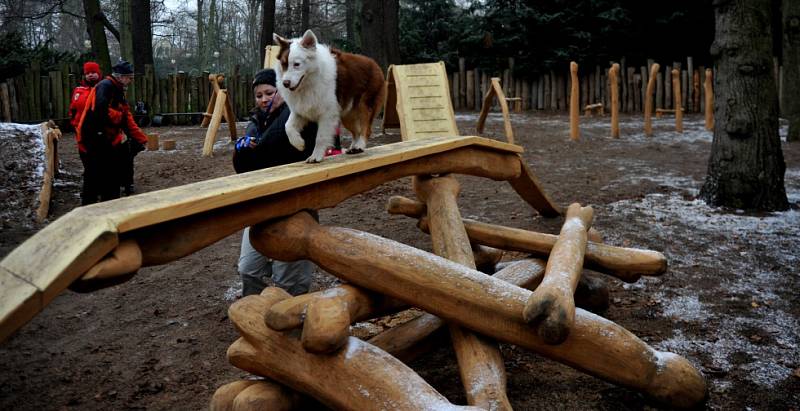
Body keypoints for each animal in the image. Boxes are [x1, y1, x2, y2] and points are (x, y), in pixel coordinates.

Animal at [276, 30, 388, 163]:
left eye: (296, 64)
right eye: (284, 64)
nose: (285, 83)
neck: (310, 81)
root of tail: (374, 63)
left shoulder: (327, 114)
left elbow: (320, 137)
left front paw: (316, 156)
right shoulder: (301, 110)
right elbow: (287, 126)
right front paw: (299, 143)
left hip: (364, 105)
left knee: (365, 128)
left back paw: (360, 145)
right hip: (347, 114)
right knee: (356, 131)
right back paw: (353, 148)